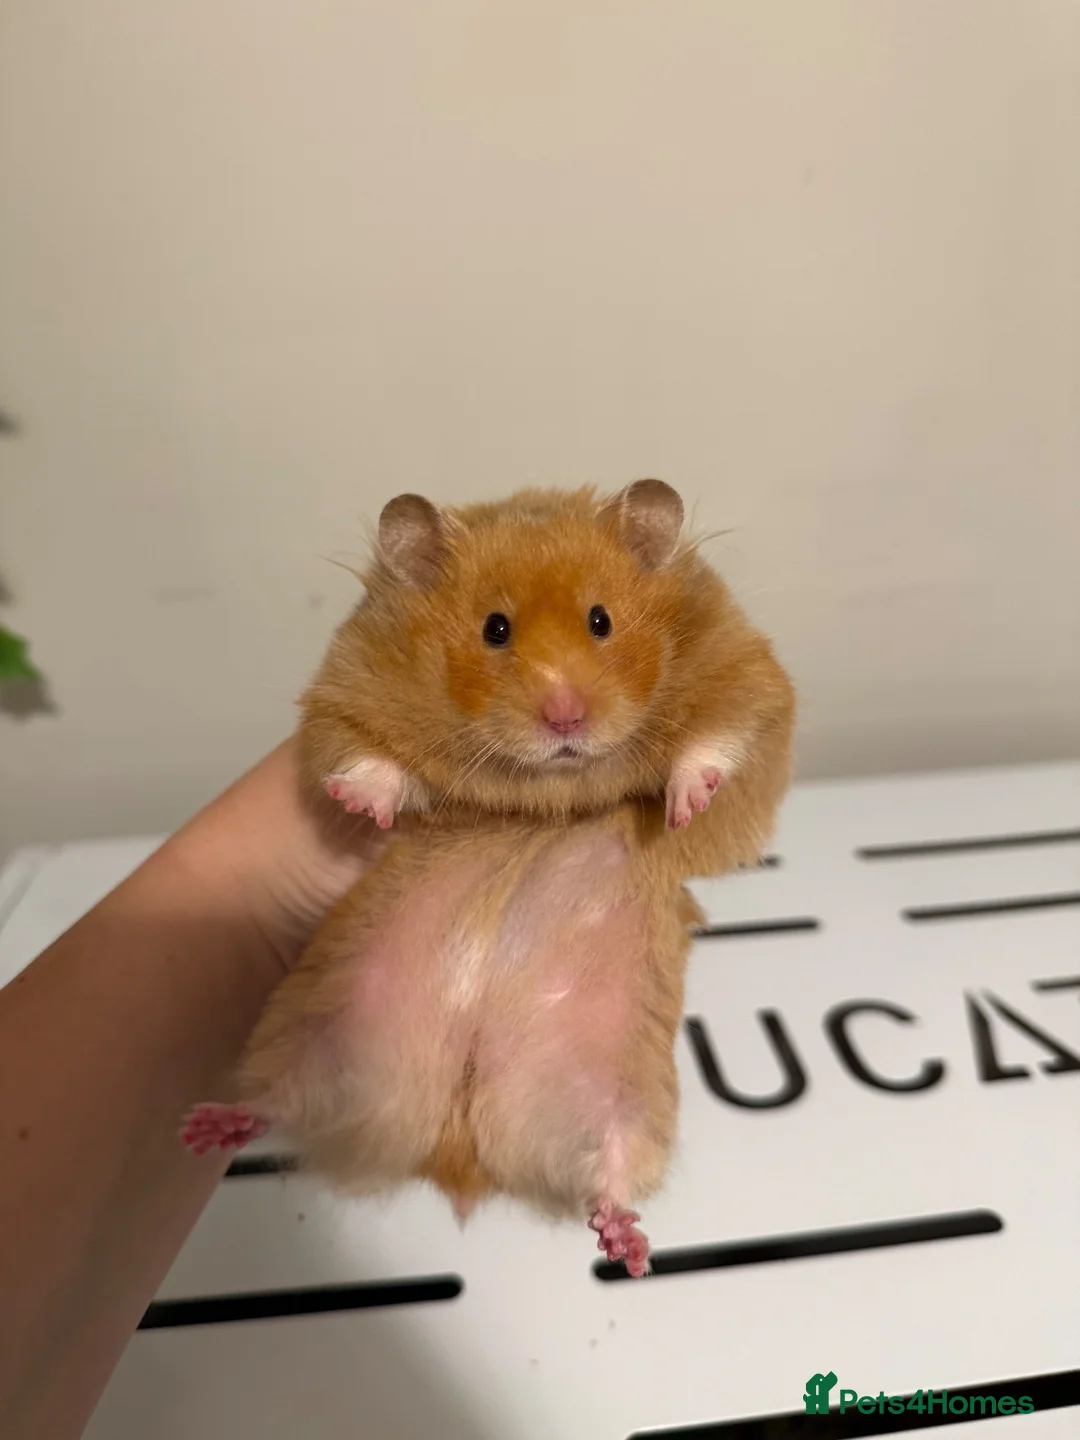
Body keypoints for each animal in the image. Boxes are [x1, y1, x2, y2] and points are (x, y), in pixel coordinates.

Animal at [182, 480, 795, 1277]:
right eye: (495, 629)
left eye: (601, 620)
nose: (565, 717)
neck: (542, 792)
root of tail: (458, 1146)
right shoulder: (346, 698)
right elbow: (369, 760)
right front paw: (360, 804)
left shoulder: (747, 679)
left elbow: (719, 741)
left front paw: (688, 803)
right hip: (310, 1030)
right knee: (279, 1103)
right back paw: (205, 1128)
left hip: (625, 1089)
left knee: (611, 1169)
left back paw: (628, 1250)